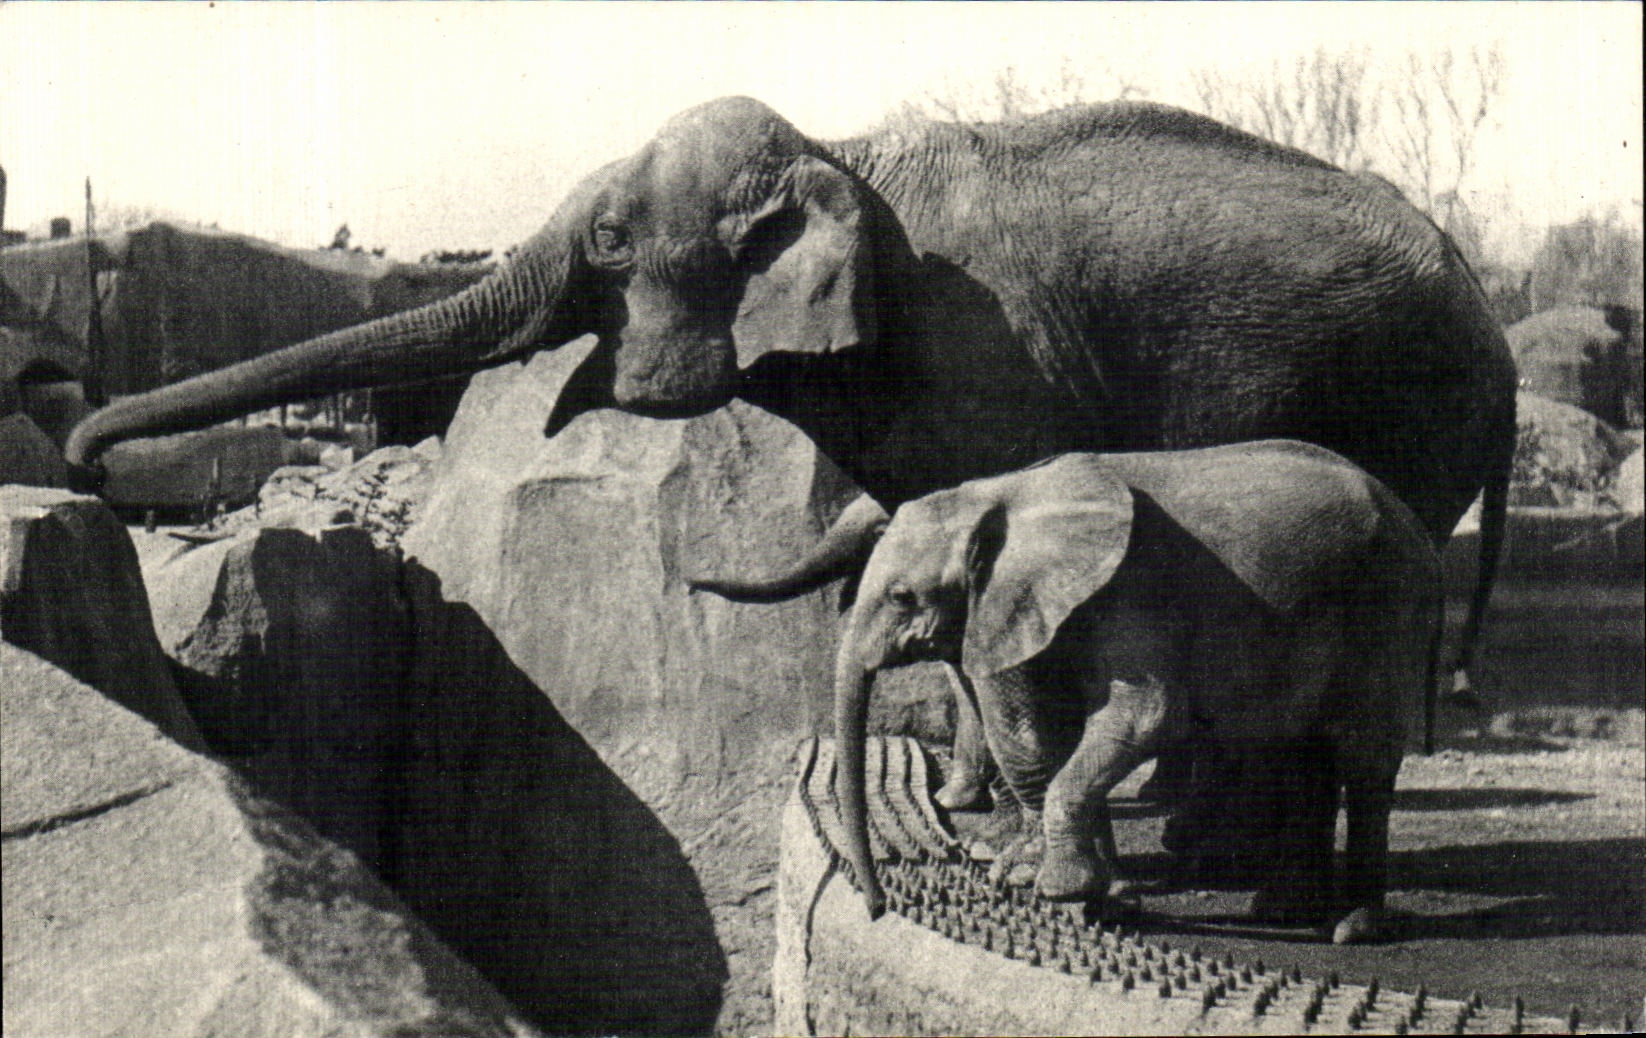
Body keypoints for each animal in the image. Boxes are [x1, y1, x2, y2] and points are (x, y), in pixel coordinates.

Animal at [63, 96, 1513, 680]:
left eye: (608, 240)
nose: (81, 453)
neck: (844, 152)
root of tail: (1494, 330)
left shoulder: (995, 361)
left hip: (1408, 405)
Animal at [831, 442, 1443, 945]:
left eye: (902, 596)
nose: (878, 909)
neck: (1002, 493)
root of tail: (1415, 524)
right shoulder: (1037, 604)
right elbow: (1043, 736)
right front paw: (1100, 897)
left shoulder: (1132, 592)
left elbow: (1146, 717)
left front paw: (1062, 889)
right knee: (1302, 755)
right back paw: (1281, 911)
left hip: (1386, 609)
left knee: (1361, 759)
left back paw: (1350, 930)